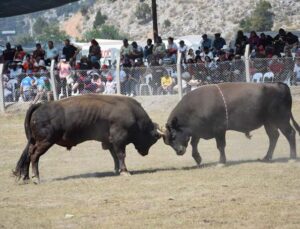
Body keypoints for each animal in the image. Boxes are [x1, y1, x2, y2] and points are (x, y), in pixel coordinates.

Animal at [13, 93, 162, 182]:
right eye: (154, 138)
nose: (145, 152)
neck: (133, 114)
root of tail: (40, 105)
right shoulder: (119, 140)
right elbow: (121, 155)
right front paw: (124, 171)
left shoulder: (109, 142)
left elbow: (114, 156)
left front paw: (116, 170)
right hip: (45, 142)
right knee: (34, 156)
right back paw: (36, 178)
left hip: (35, 141)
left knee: (28, 155)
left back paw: (25, 177)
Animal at [163, 82, 300, 165]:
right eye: (168, 142)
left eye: (173, 135)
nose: (179, 151)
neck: (194, 107)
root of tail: (279, 84)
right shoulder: (197, 131)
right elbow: (194, 143)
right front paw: (198, 158)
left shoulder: (219, 130)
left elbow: (220, 145)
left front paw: (221, 162)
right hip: (269, 122)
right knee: (273, 136)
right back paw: (267, 157)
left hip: (281, 120)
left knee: (290, 133)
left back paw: (292, 158)